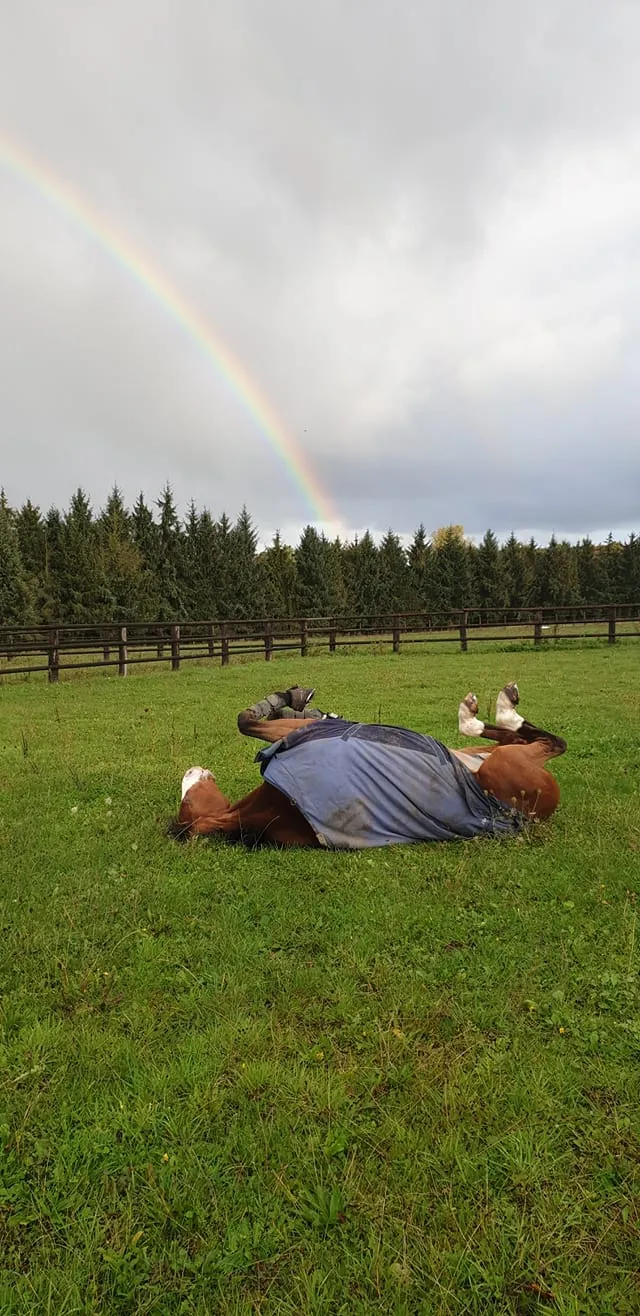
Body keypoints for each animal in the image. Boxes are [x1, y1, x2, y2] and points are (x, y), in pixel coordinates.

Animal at [169, 679, 566, 852]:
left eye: (187, 800)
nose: (190, 771)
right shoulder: (302, 734)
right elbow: (247, 720)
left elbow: (250, 720)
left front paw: (295, 701)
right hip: (502, 765)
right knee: (546, 741)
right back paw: (494, 708)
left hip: (486, 754)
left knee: (530, 739)